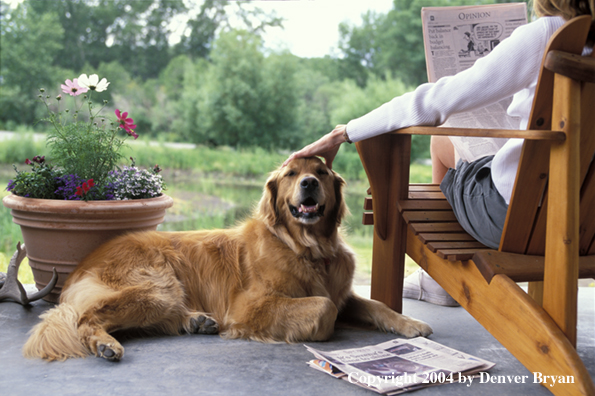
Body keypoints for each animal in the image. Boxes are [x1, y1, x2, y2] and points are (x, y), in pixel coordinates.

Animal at [24, 156, 434, 360]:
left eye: (321, 172)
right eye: (291, 174)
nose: (309, 184)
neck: (308, 249)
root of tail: (84, 263)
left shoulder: (343, 291)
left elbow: (376, 305)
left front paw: (410, 323)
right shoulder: (249, 306)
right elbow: (323, 307)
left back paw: (195, 321)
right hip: (158, 287)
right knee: (87, 317)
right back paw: (105, 344)